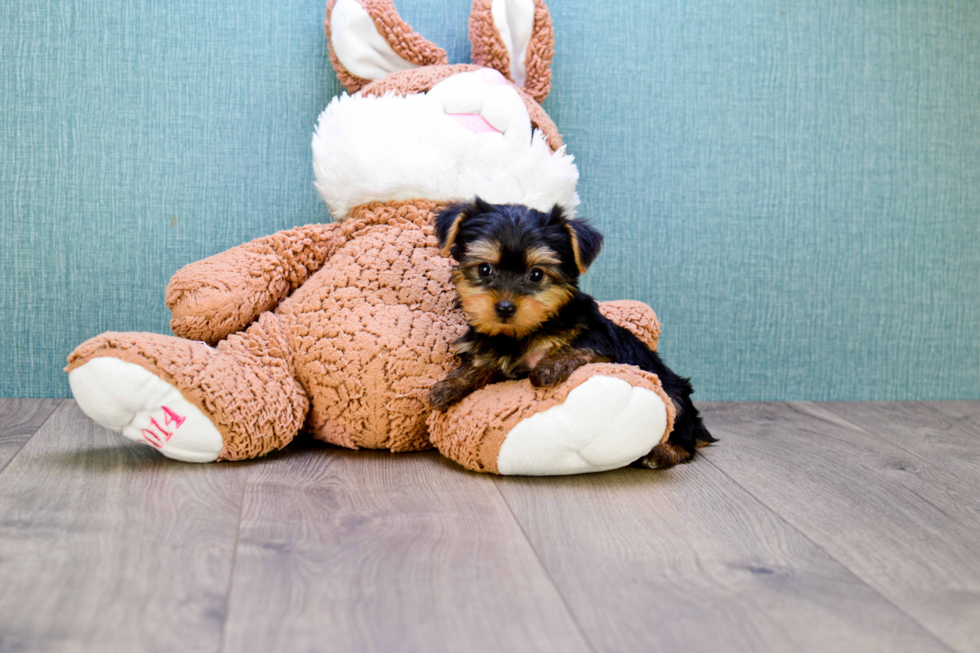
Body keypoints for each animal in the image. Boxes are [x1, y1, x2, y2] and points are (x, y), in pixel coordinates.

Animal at [428, 199, 712, 468]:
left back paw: (662, 453)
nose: (505, 308)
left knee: (685, 437)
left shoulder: (599, 340)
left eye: (536, 275)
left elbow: (577, 345)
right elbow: (480, 363)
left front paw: (549, 367)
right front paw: (450, 386)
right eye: (484, 269)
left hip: (675, 396)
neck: (521, 333)